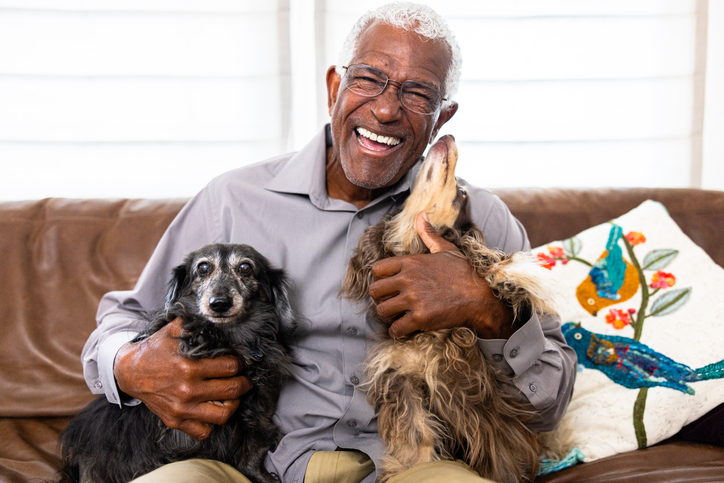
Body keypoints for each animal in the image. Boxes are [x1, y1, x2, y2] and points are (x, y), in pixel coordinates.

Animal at [59, 246, 296, 483]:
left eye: (245, 267)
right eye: (203, 267)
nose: (219, 303)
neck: (231, 337)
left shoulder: (260, 410)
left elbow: (254, 450)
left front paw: (262, 476)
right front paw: (199, 330)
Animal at [340, 135, 556, 483]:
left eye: (463, 193)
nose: (447, 137)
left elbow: (486, 259)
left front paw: (514, 277)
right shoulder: (401, 378)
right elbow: (416, 435)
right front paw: (412, 465)